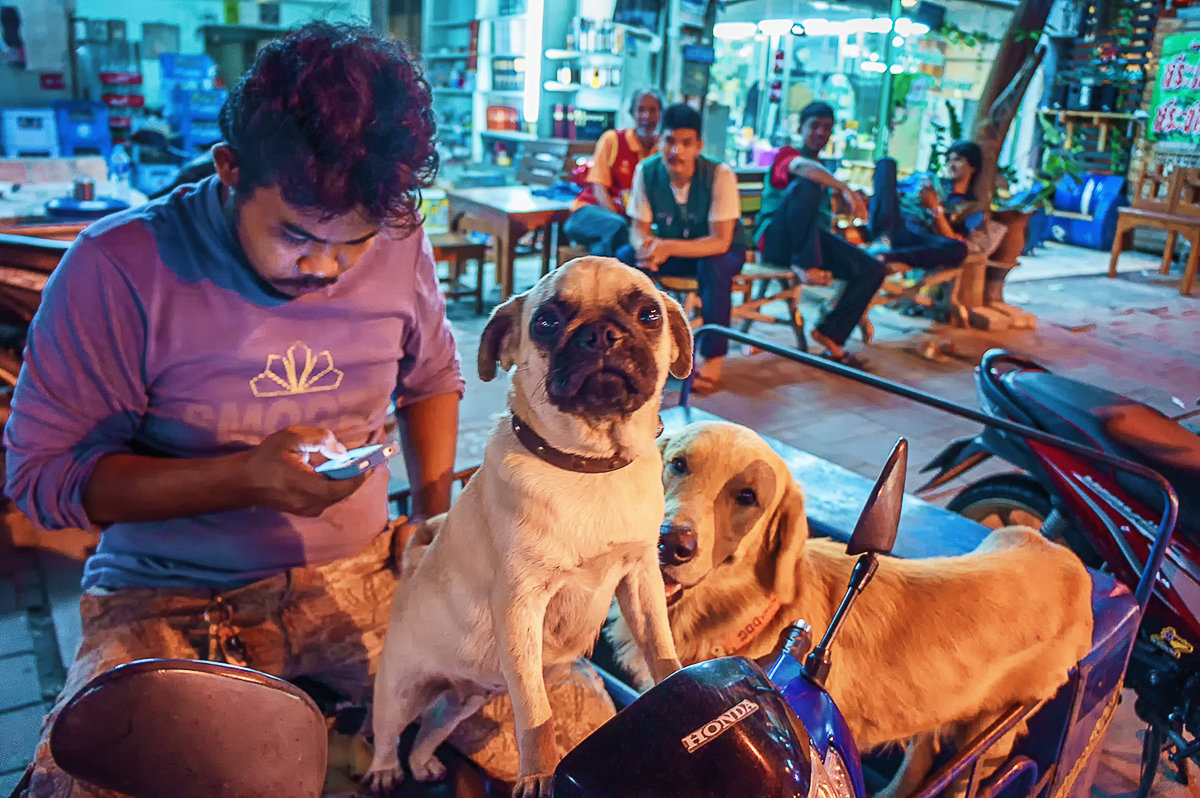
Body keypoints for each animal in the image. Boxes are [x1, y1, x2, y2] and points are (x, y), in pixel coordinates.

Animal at [360, 258, 691, 796]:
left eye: (649, 315)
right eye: (547, 323)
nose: (602, 334)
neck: (589, 466)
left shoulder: (641, 578)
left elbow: (659, 646)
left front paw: (678, 685)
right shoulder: (520, 605)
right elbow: (535, 712)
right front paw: (539, 772)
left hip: (460, 704)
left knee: (428, 733)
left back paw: (425, 764)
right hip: (399, 692)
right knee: (390, 735)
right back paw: (385, 771)